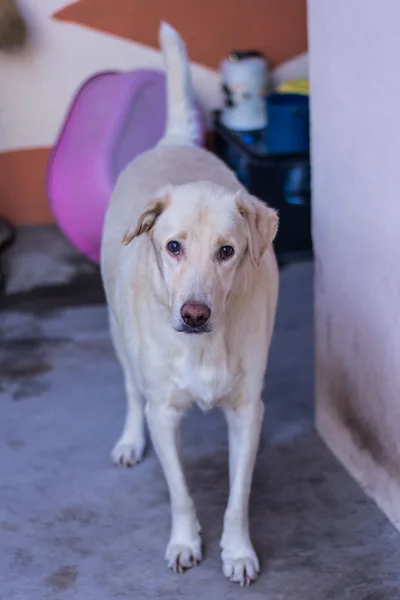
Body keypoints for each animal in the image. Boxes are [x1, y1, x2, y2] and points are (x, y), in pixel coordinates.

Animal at [101, 24, 278, 584]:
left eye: (227, 251)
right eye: (173, 246)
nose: (194, 315)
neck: (203, 346)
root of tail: (176, 142)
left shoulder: (245, 411)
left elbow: (238, 497)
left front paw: (237, 551)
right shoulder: (164, 414)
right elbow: (180, 492)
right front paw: (184, 542)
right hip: (118, 335)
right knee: (130, 391)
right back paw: (129, 440)